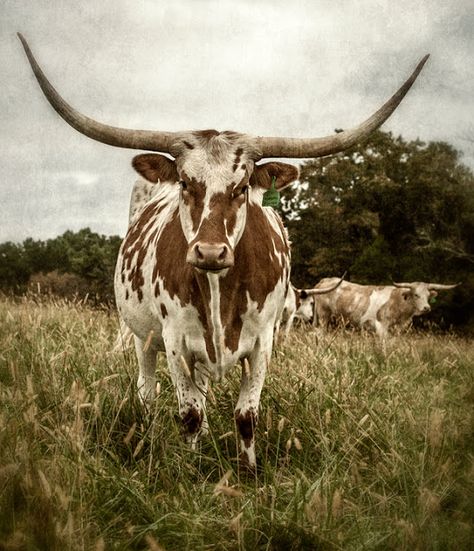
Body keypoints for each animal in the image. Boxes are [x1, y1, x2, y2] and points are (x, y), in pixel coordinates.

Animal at [18, 32, 430, 468]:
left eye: (243, 186)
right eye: (185, 183)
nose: (210, 253)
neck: (220, 293)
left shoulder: (263, 343)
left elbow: (245, 415)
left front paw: (249, 471)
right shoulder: (175, 341)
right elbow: (190, 413)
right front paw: (191, 469)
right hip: (143, 336)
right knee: (148, 392)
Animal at [314, 278, 460, 338]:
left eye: (428, 296)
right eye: (416, 295)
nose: (426, 308)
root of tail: (325, 280)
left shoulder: (398, 329)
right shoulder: (381, 326)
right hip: (323, 316)